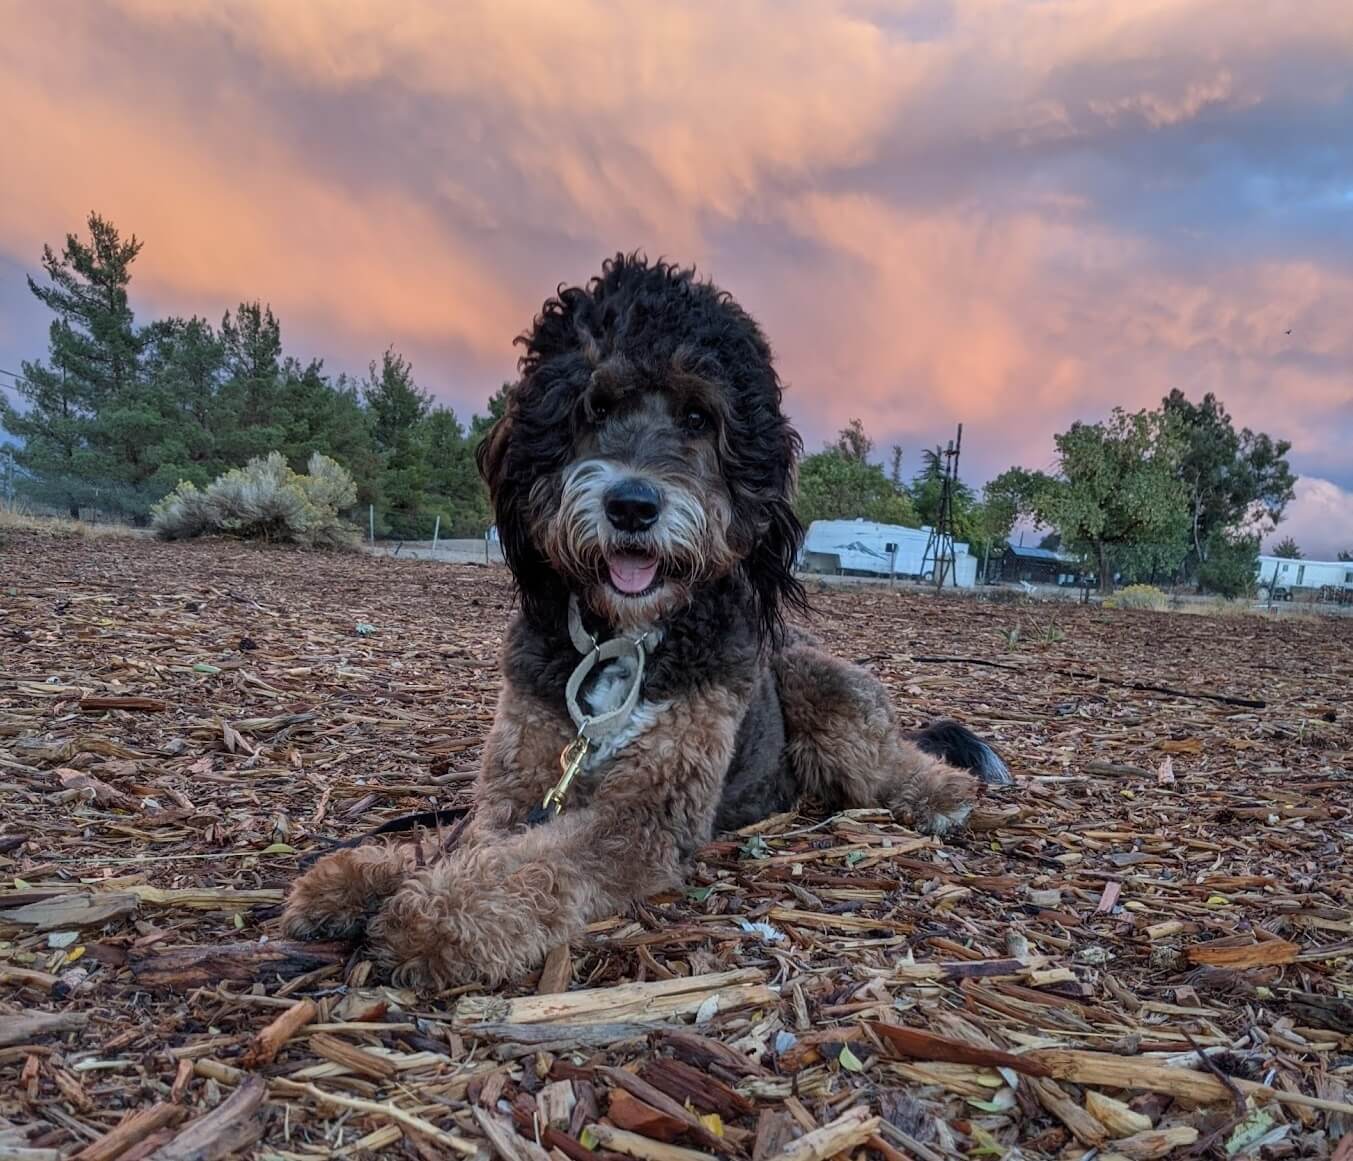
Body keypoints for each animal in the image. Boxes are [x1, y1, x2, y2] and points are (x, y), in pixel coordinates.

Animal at [280, 253, 1012, 985]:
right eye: (594, 406)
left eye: (697, 414)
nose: (631, 504)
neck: (622, 637)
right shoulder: (519, 782)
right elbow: (464, 837)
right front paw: (363, 876)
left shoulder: (644, 813)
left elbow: (534, 865)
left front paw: (433, 918)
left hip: (818, 684)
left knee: (893, 759)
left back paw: (942, 790)